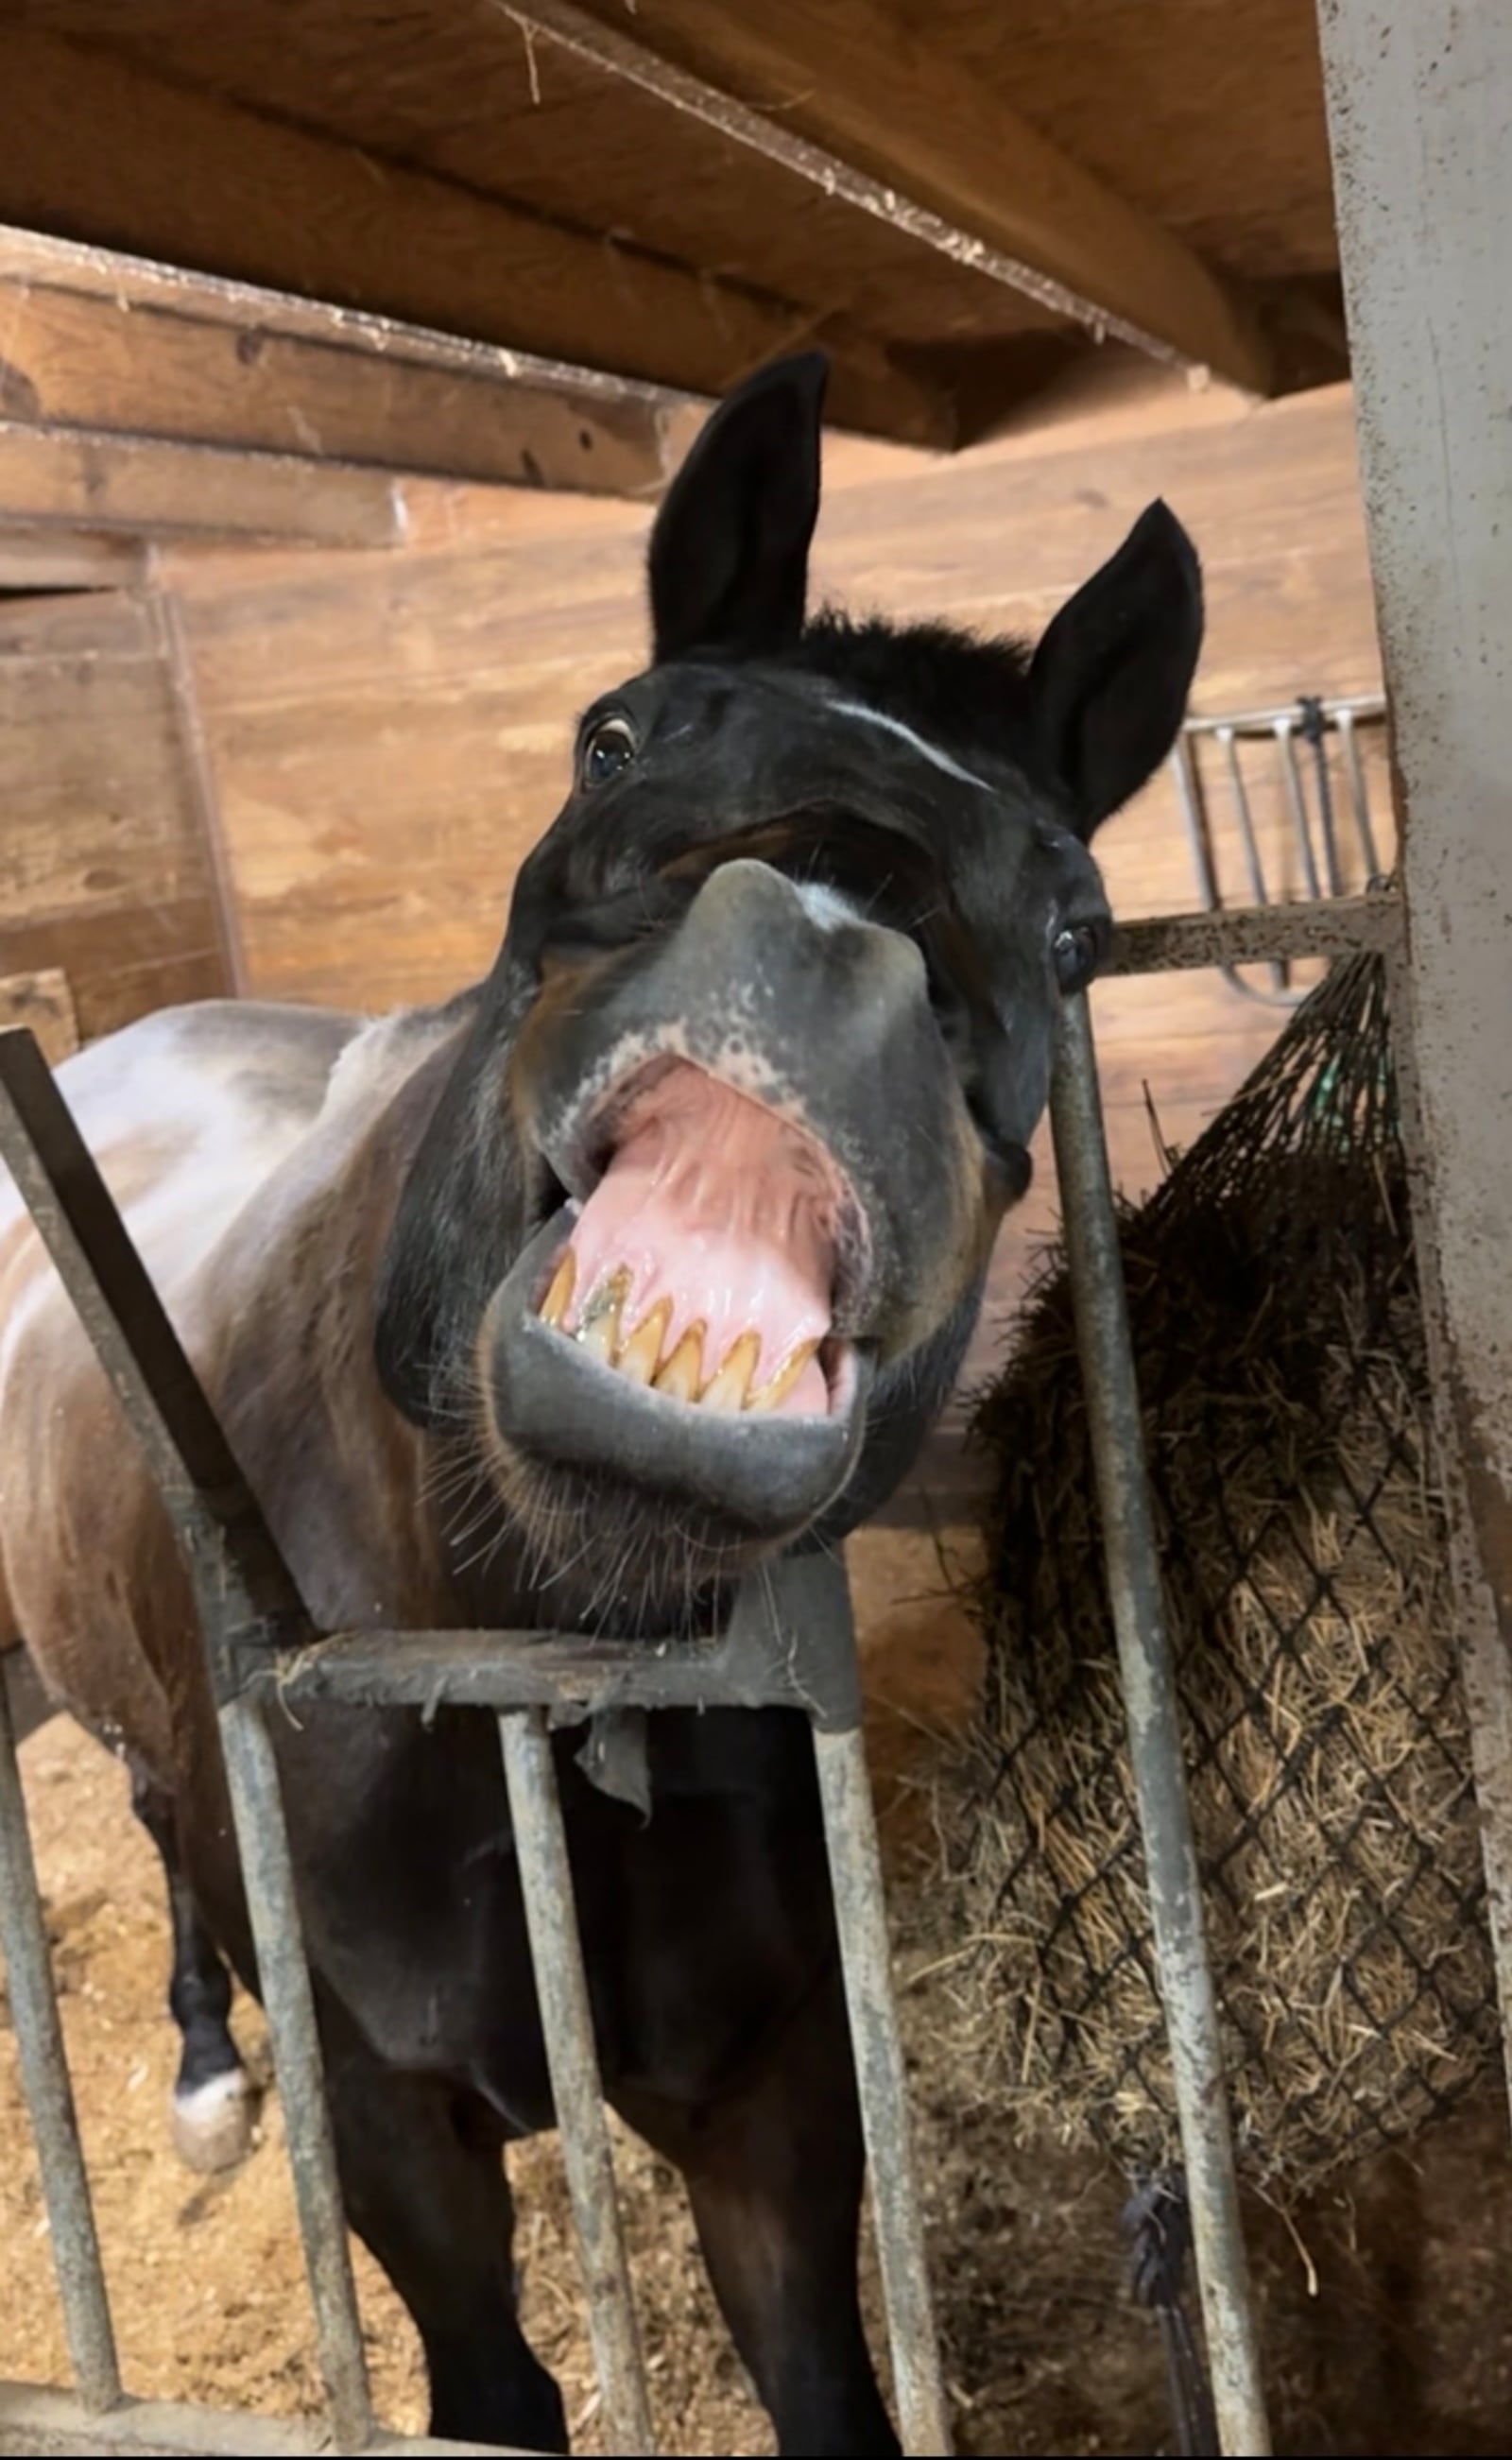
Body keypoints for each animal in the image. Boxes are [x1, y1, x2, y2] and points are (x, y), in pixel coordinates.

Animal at [0, 351, 1202, 2455]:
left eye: (1072, 920)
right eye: (609, 740)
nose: (826, 934)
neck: (529, 1667)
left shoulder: (768, 2097)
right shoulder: (392, 2130)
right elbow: (491, 2381)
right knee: (152, 1810)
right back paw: (202, 2065)